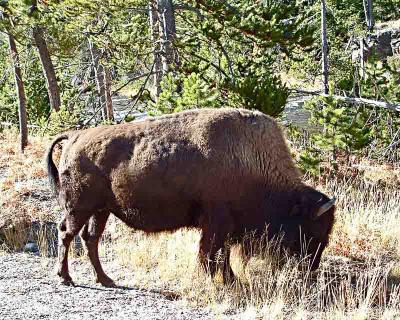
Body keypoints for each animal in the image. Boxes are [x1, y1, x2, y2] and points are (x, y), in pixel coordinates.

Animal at [46, 109, 334, 286]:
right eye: (309, 229)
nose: (311, 268)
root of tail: (75, 136)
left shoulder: (224, 228)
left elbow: (221, 255)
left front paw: (231, 280)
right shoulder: (216, 224)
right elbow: (210, 255)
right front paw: (219, 280)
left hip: (101, 210)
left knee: (90, 239)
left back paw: (105, 280)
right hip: (79, 207)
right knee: (66, 233)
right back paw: (66, 278)